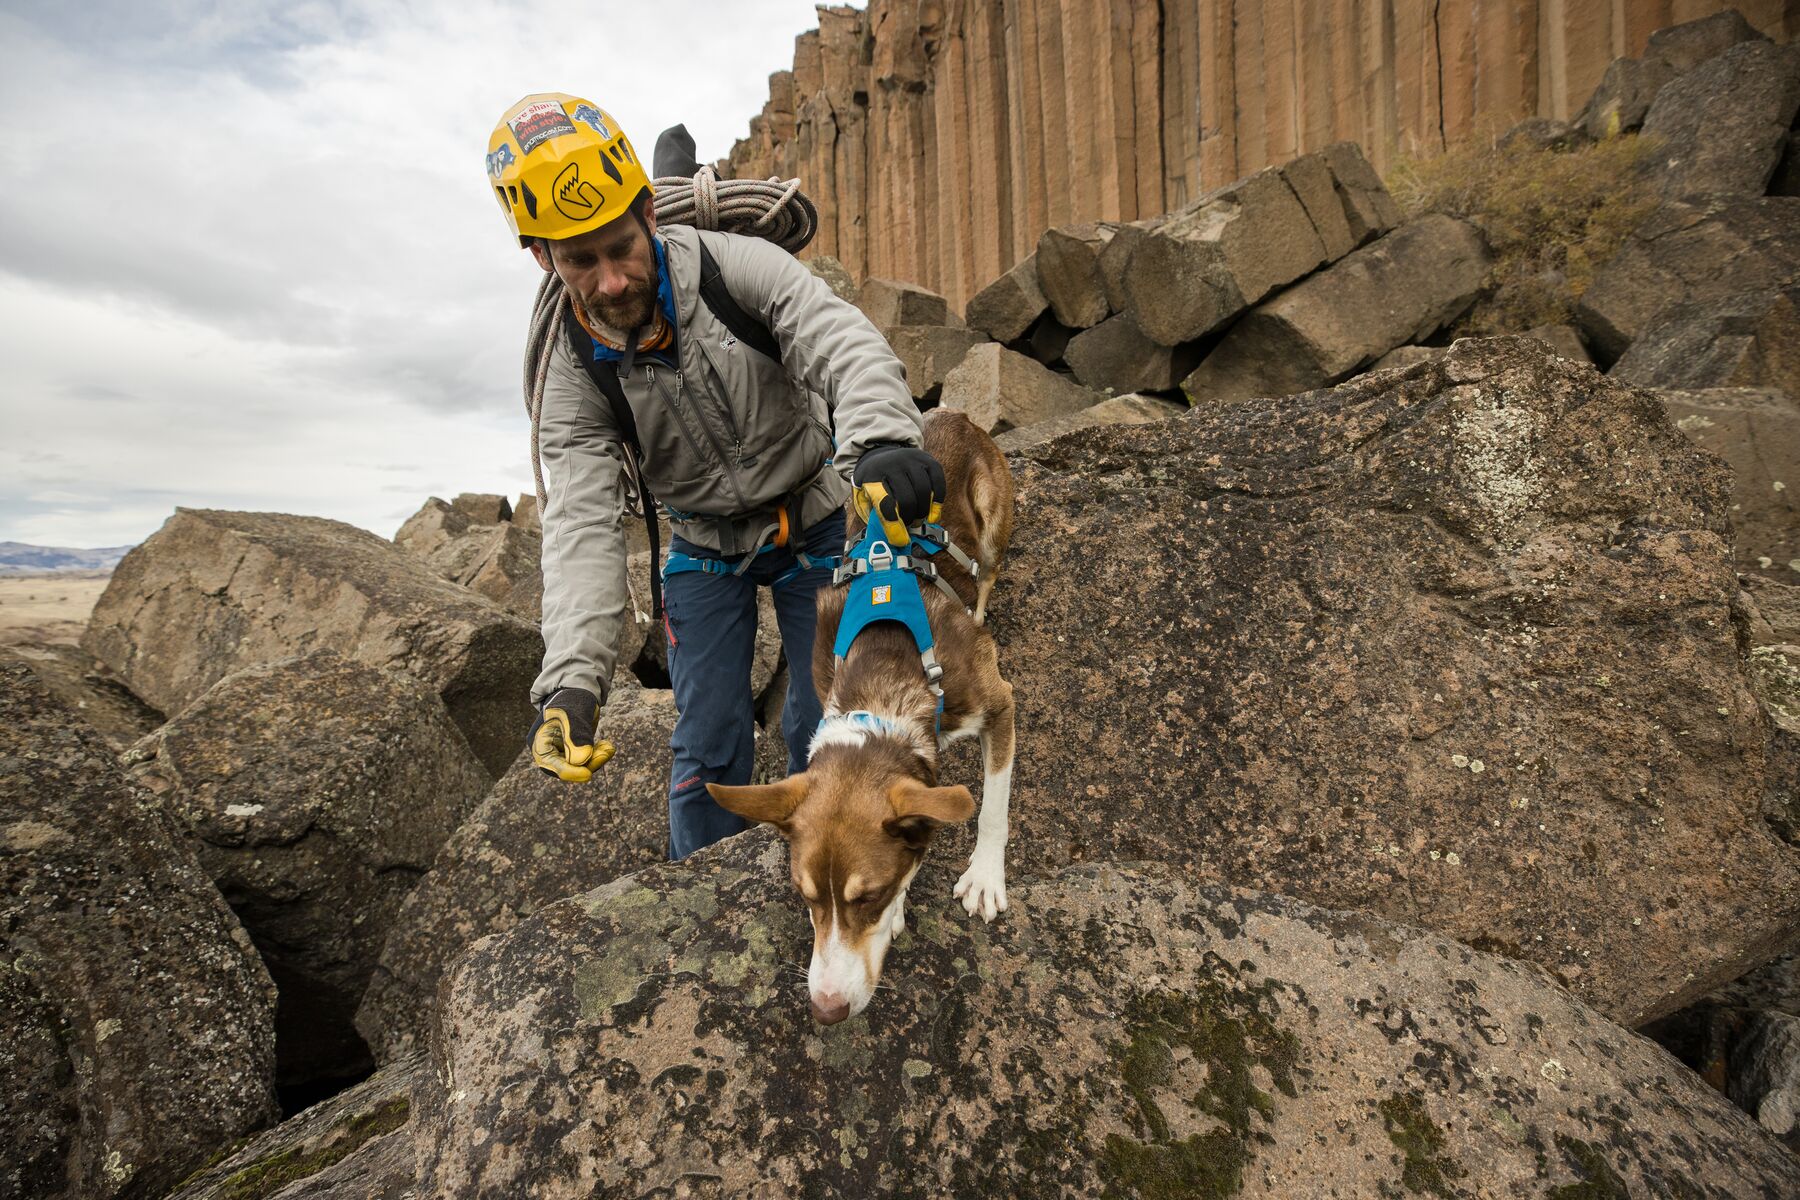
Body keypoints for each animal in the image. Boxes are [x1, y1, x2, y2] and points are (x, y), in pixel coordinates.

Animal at [705, 410, 1015, 1021]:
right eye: (804, 897)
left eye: (868, 895)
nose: (825, 1011)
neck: (884, 687)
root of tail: (949, 412)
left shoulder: (998, 702)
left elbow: (991, 805)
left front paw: (984, 877)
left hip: (992, 522)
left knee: (986, 572)